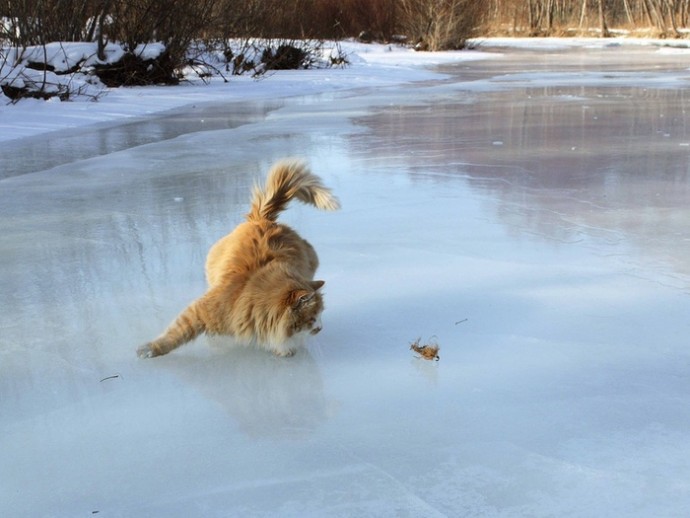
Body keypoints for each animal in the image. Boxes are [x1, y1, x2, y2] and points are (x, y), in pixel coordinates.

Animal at [136, 160, 338, 360]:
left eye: (320, 314)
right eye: (312, 318)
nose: (320, 328)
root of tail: (261, 218)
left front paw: (282, 348)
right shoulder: (201, 311)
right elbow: (176, 332)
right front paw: (150, 349)